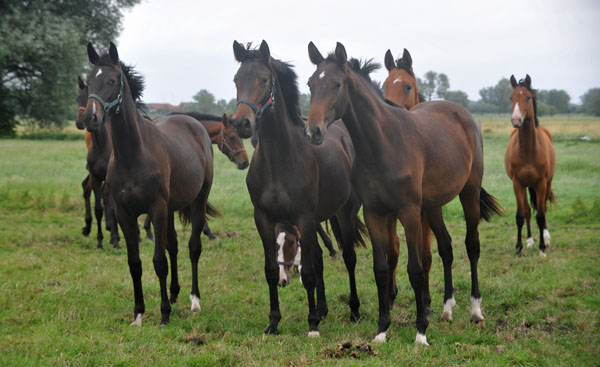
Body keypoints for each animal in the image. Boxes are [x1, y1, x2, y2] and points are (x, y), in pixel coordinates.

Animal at [82, 41, 216, 326]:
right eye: (88, 82)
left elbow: (158, 261)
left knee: (193, 248)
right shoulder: (125, 213)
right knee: (173, 245)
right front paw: (139, 313)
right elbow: (135, 263)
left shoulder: (155, 209)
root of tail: (194, 123)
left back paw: (194, 300)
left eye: (112, 80)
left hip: (196, 201)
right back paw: (175, 293)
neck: (133, 155)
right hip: (171, 208)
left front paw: (164, 314)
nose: (90, 119)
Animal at [230, 39, 366, 336]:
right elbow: (272, 270)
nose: (242, 123)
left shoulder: (303, 217)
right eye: (236, 79)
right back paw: (324, 310)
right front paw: (273, 322)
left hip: (344, 212)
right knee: (320, 260)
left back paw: (353, 310)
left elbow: (308, 273)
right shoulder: (264, 219)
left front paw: (312, 323)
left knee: (349, 258)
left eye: (264, 79)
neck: (279, 159)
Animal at [304, 42, 502, 344]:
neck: (384, 143)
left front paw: (421, 331)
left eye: (337, 84)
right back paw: (447, 309)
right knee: (446, 247)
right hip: (432, 206)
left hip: (468, 194)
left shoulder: (408, 212)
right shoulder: (375, 213)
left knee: (472, 245)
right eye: (310, 84)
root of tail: (460, 112)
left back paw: (475, 310)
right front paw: (382, 329)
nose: (313, 131)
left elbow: (416, 270)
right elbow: (382, 269)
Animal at [504, 74, 556, 258]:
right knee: (527, 210)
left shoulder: (541, 183)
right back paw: (529, 241)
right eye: (511, 97)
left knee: (544, 209)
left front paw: (542, 248)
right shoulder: (517, 183)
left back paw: (546, 239)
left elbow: (540, 215)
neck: (527, 150)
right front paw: (519, 247)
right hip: (526, 186)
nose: (516, 120)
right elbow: (521, 214)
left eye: (528, 97)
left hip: (547, 183)